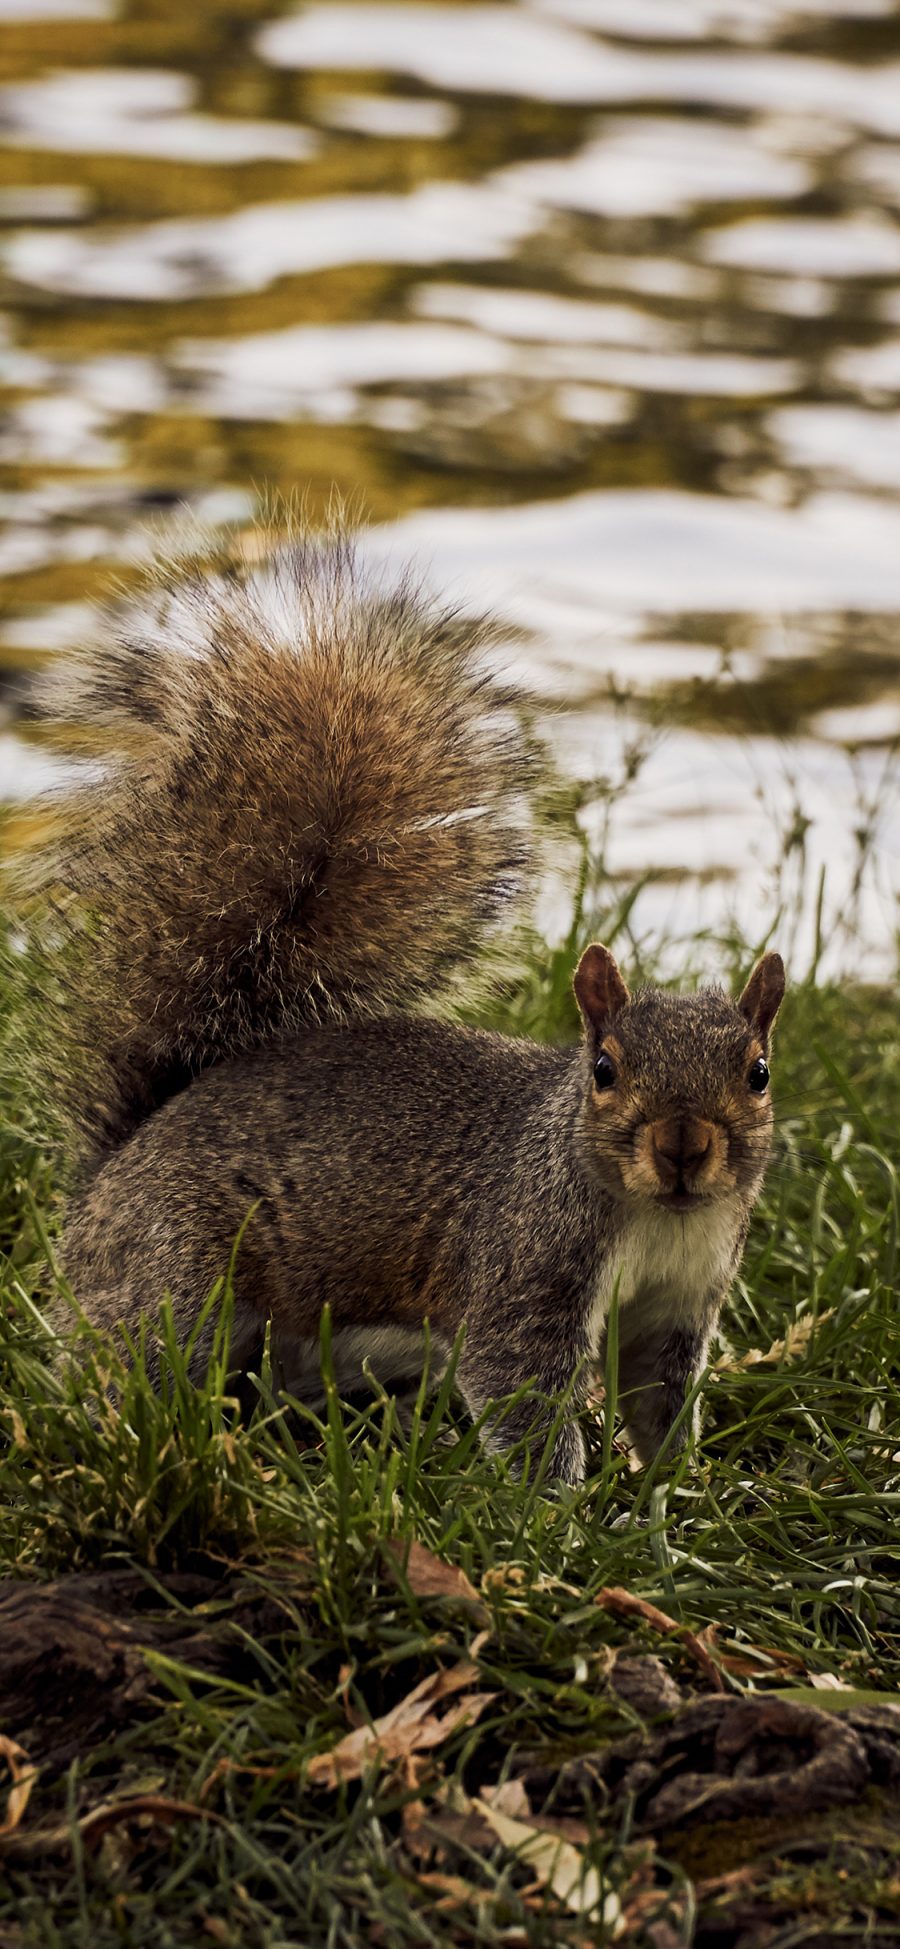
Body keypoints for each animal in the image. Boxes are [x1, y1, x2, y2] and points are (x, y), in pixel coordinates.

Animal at [33, 526, 779, 1481]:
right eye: (605, 1068)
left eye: (757, 1073)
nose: (683, 1145)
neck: (656, 1217)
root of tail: (107, 1178)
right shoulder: (521, 1272)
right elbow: (521, 1395)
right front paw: (561, 1507)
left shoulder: (680, 1302)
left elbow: (661, 1400)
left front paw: (677, 1488)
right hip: (179, 1281)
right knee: (135, 1363)